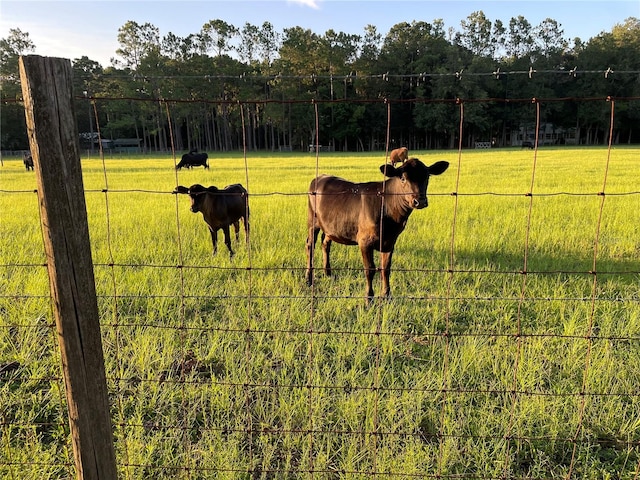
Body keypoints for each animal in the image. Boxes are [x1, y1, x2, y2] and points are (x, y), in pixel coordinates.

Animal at [306, 159, 450, 306]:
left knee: (325, 244)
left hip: (330, 227)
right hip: (312, 221)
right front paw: (369, 299)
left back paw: (328, 273)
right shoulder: (364, 241)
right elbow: (370, 269)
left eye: (427, 177)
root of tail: (321, 176)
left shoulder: (390, 241)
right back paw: (308, 279)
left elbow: (386, 268)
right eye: (403, 178)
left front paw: (387, 296)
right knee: (310, 245)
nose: (419, 201)